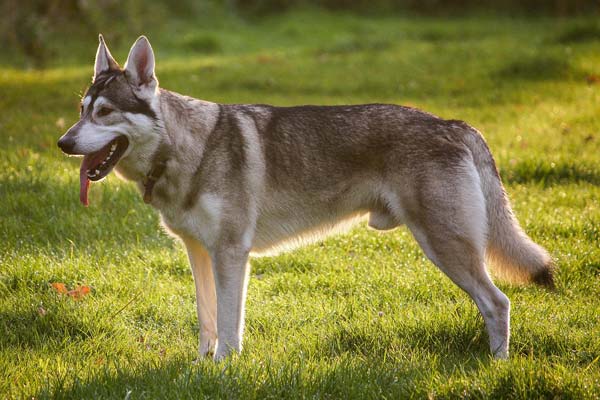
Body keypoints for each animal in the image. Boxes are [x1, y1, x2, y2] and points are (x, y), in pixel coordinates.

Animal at [58, 34, 556, 360]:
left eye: (105, 112)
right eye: (81, 110)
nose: (63, 143)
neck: (187, 150)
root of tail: (454, 124)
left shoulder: (231, 254)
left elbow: (230, 328)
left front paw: (225, 370)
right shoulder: (198, 251)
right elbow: (207, 322)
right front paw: (200, 369)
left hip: (446, 247)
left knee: (498, 303)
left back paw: (496, 365)